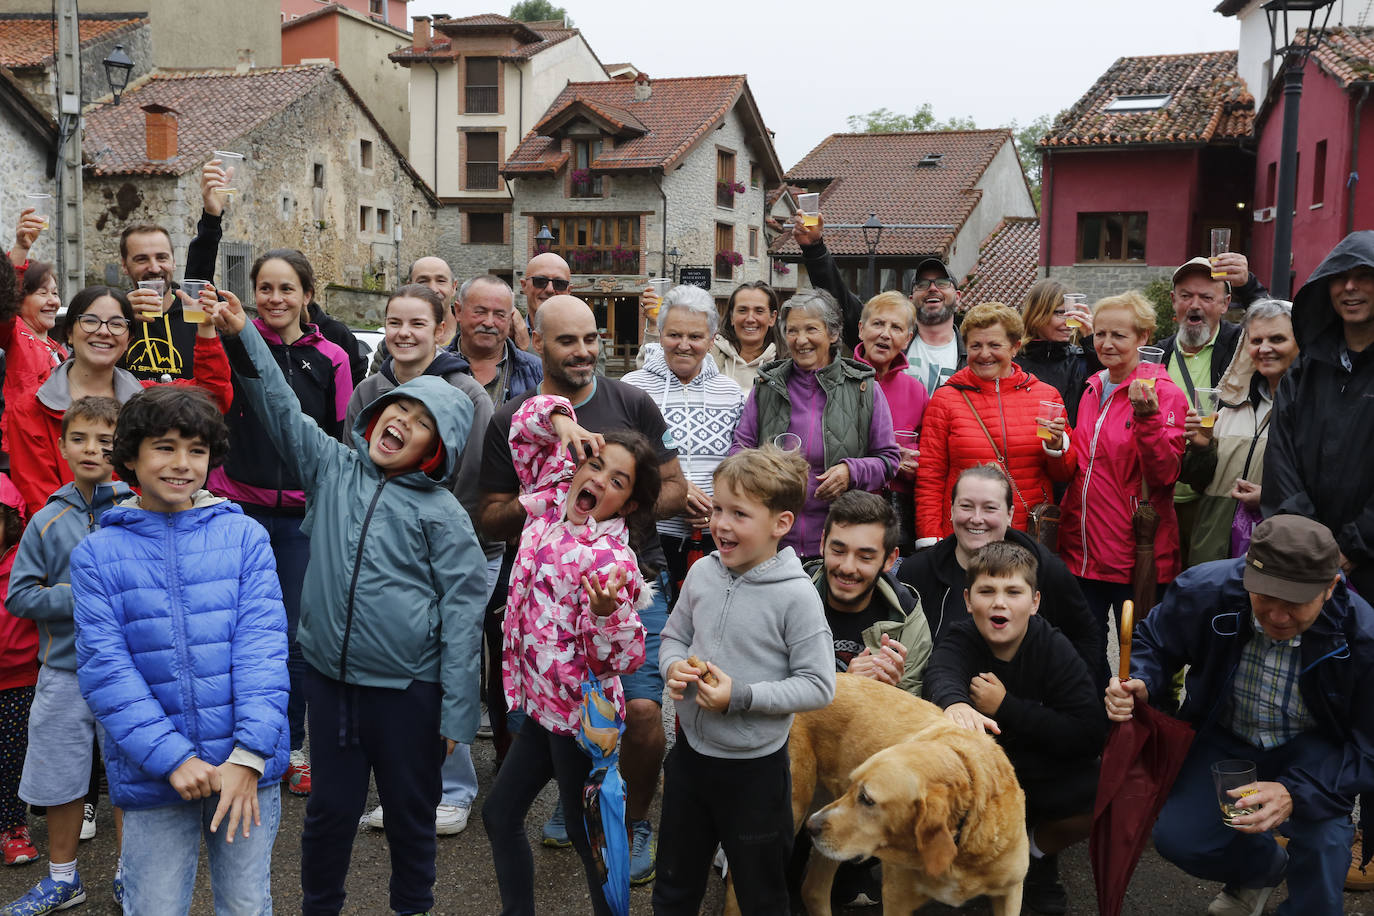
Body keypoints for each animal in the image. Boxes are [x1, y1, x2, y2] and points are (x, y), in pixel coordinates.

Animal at [725, 672, 1027, 916]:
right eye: (854, 787)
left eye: (867, 799)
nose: (813, 827)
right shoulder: (896, 899)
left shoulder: (1011, 892)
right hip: (792, 810)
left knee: (813, 890)